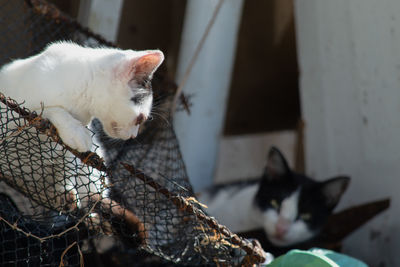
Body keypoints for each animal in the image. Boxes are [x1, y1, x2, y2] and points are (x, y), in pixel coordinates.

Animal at [0, 41, 164, 209]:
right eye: (140, 119)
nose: (133, 135)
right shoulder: (15, 109)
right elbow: (50, 109)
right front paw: (76, 131)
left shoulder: (66, 151)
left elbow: (66, 168)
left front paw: (64, 190)